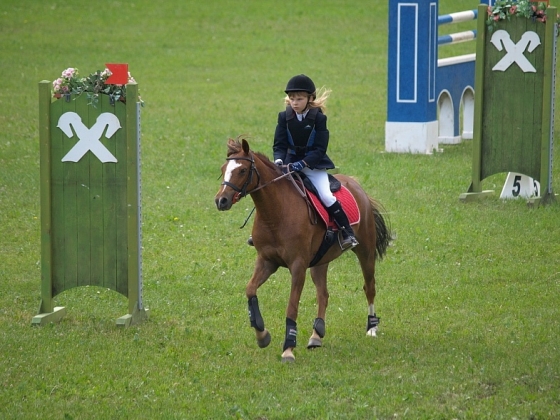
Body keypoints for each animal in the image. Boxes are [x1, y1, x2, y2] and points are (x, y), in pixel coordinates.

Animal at [214, 138, 390, 360]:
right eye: (223, 169)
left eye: (243, 170)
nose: (221, 200)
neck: (275, 212)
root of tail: (356, 185)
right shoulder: (267, 261)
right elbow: (250, 290)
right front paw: (262, 335)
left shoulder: (298, 266)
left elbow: (292, 307)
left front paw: (288, 349)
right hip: (320, 261)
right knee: (323, 294)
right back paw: (317, 334)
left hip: (365, 251)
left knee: (370, 287)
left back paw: (372, 327)